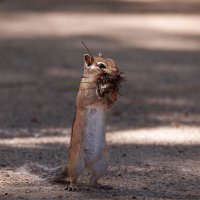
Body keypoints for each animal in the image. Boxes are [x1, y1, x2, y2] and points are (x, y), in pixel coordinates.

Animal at [25, 52, 124, 191]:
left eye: (113, 61)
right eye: (101, 65)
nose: (116, 73)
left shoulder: (106, 105)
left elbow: (110, 103)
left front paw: (113, 91)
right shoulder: (85, 94)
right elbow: (93, 97)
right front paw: (104, 89)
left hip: (102, 163)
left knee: (92, 180)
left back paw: (101, 185)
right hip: (77, 162)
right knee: (74, 177)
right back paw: (73, 186)